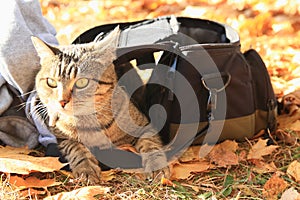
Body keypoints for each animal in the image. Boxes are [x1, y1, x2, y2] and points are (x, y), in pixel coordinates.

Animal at [32, 27, 170, 184]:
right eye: (51, 82)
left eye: (82, 82)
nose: (62, 101)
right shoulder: (60, 137)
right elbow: (75, 147)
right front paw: (86, 168)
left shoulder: (146, 126)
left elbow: (150, 145)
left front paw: (157, 165)